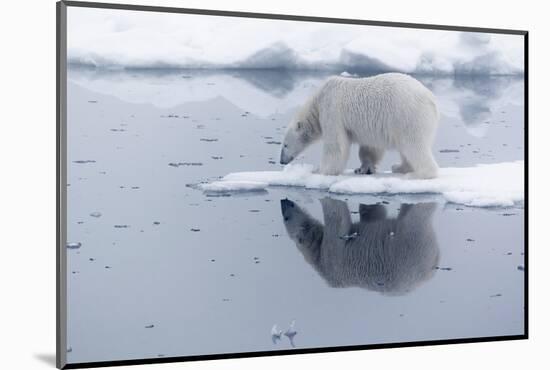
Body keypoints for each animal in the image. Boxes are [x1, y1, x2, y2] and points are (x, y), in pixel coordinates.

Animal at [282, 72, 442, 179]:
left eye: (284, 144)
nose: (281, 161)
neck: (317, 101)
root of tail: (431, 99)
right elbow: (370, 147)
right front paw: (363, 169)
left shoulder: (332, 110)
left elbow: (336, 146)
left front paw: (320, 170)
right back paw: (400, 167)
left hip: (408, 115)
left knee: (414, 145)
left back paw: (417, 174)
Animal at [282, 198, 442, 296]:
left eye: (286, 218)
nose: (284, 202)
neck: (318, 260)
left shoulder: (331, 257)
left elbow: (337, 216)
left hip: (410, 245)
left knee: (417, 214)